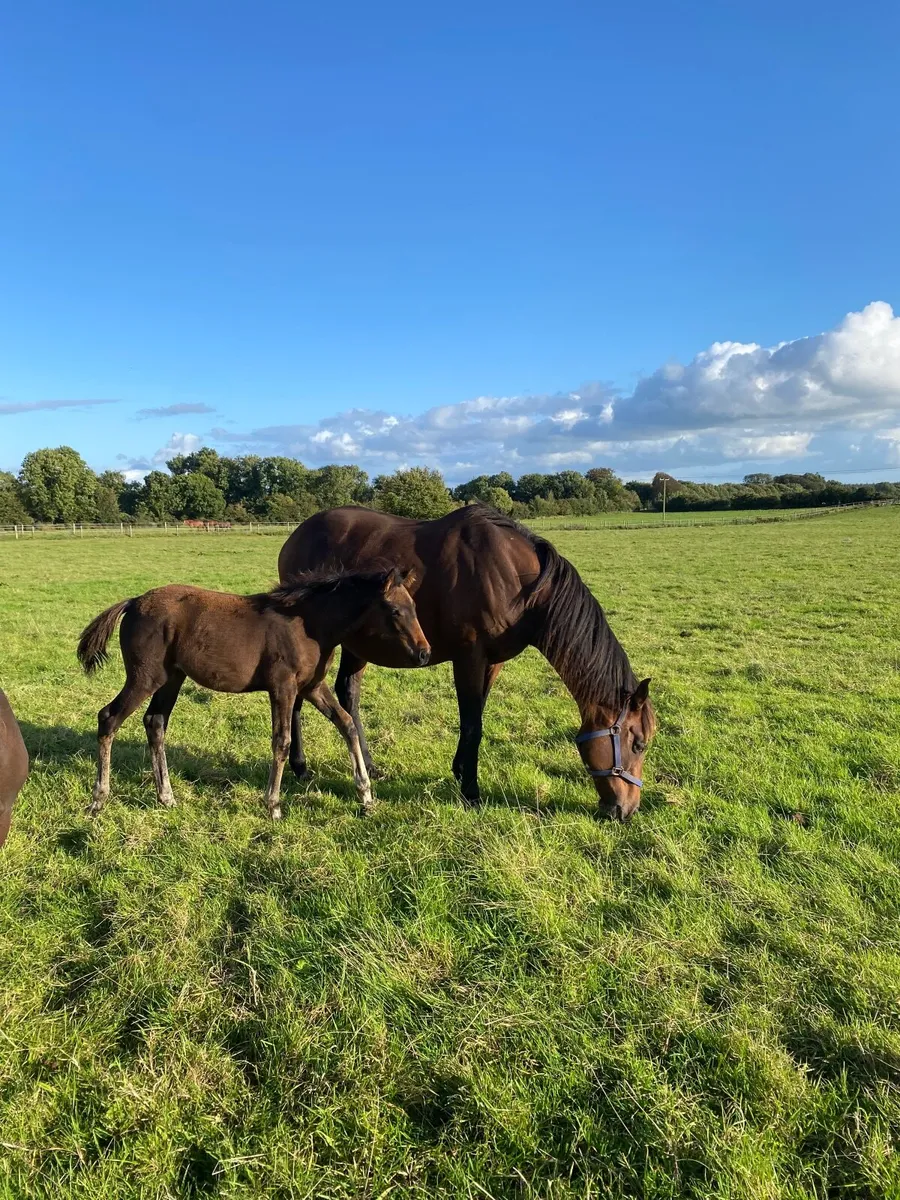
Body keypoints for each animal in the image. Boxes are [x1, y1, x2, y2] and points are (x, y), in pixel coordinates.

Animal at [76, 567, 430, 819]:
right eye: (395, 611)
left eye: (414, 606)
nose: (424, 653)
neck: (309, 624)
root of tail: (133, 602)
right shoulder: (283, 687)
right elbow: (282, 741)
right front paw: (273, 805)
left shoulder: (312, 687)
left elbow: (347, 724)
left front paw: (366, 795)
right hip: (145, 677)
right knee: (109, 718)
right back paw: (98, 800)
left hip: (171, 678)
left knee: (155, 723)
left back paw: (166, 797)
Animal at [278, 505, 655, 821]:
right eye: (637, 744)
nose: (626, 810)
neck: (519, 581)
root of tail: (296, 536)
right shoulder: (469, 657)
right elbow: (473, 724)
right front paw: (471, 790)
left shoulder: (493, 662)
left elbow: (476, 716)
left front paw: (460, 771)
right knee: (298, 697)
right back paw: (300, 766)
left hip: (357, 645)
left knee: (348, 694)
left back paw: (368, 765)